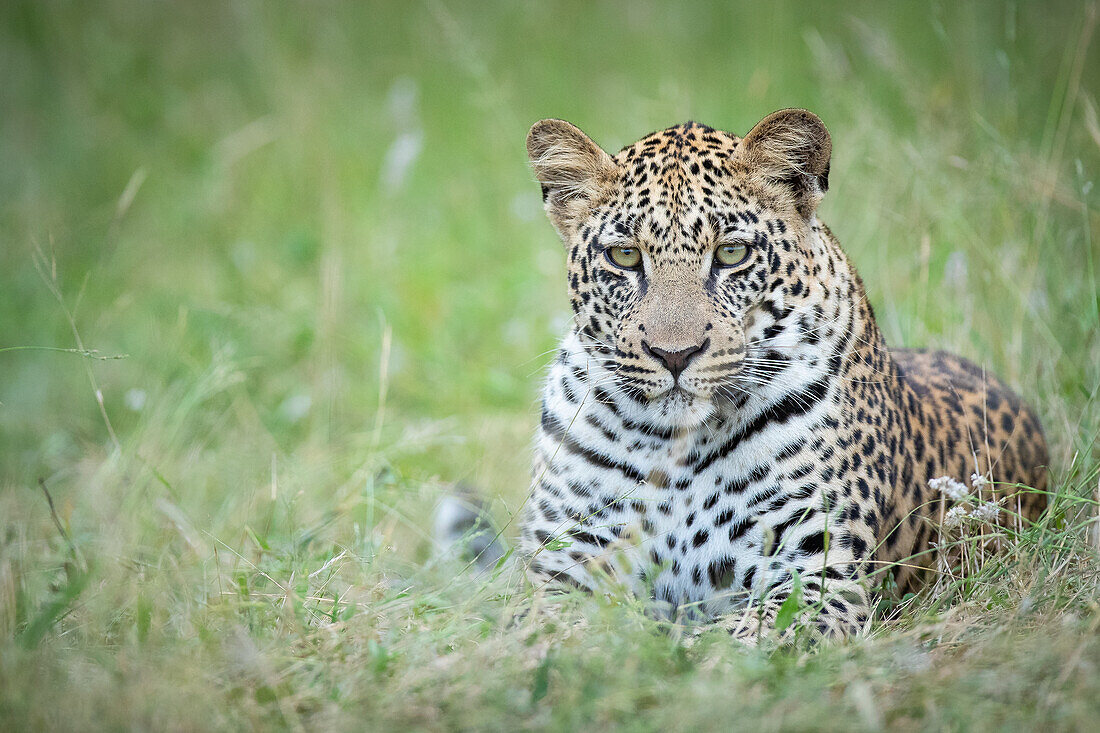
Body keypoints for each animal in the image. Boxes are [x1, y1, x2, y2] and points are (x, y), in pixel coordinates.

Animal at [514, 108, 1047, 638]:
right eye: (624, 255)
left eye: (731, 253)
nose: (674, 354)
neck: (676, 447)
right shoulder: (560, 568)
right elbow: (553, 629)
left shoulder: (819, 578)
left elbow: (728, 638)